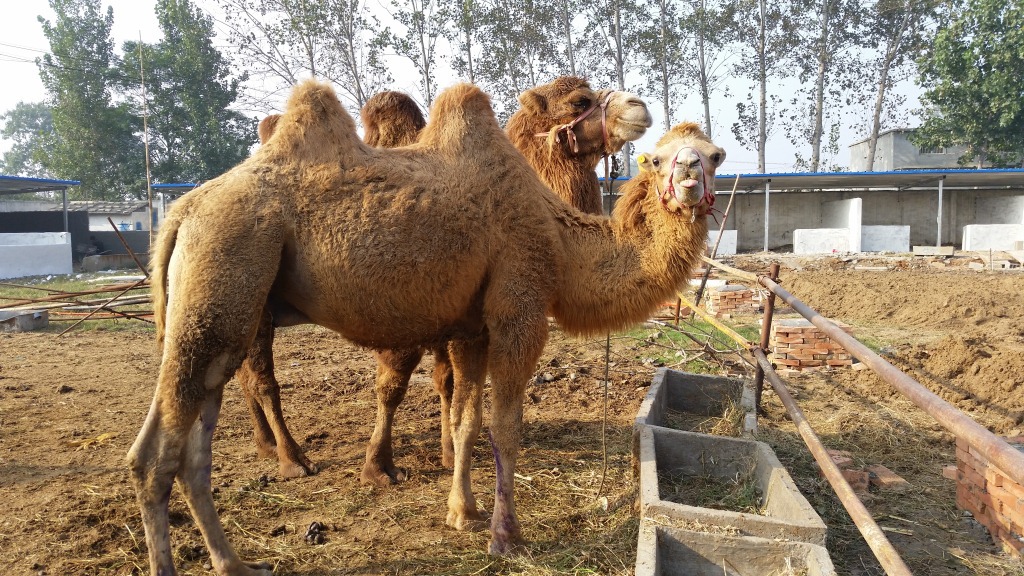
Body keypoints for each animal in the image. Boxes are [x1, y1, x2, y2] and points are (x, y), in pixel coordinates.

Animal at [240, 75, 651, 479]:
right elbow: (392, 386)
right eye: (580, 101)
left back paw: (265, 444)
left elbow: (447, 381)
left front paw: (450, 450)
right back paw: (292, 458)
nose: (639, 107)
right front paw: (379, 465)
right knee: (262, 379)